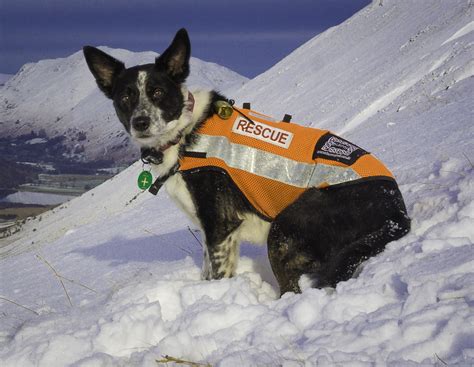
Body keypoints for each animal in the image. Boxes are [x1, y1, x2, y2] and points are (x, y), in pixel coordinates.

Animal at [83, 28, 410, 296]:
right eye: (125, 97)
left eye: (158, 92)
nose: (140, 122)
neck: (185, 134)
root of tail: (397, 213)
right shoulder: (213, 232)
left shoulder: (220, 225)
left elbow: (217, 275)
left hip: (285, 228)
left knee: (292, 290)